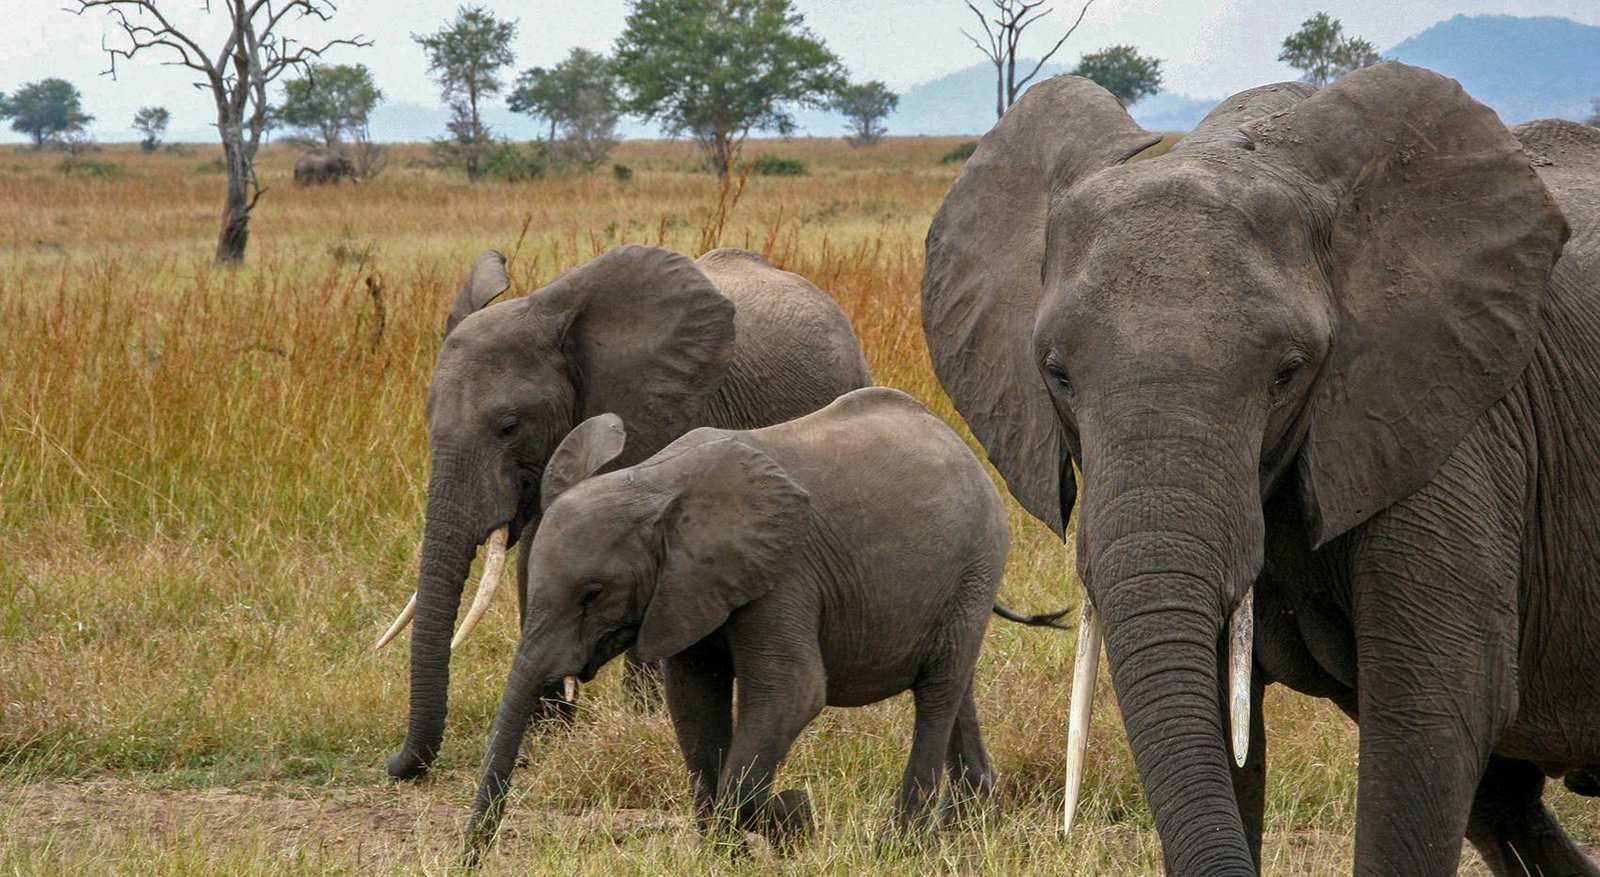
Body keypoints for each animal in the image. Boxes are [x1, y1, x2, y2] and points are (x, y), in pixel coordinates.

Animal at [377, 243, 876, 777]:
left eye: (509, 426)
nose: (395, 762)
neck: (549, 310)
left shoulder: (671, 410)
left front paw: (642, 721)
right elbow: (541, 549)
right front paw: (546, 741)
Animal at [467, 385, 1011, 864]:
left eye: (594, 594)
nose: (471, 857)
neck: (654, 485)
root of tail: (959, 444)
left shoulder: (783, 574)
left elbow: (793, 692)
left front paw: (795, 819)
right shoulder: (683, 589)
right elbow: (693, 700)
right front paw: (726, 856)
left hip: (977, 563)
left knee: (937, 692)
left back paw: (902, 845)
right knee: (954, 686)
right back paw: (971, 824)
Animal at [921, 65, 1600, 870]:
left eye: (1288, 372)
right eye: (1056, 372)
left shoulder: (1449, 420)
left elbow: (1435, 711)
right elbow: (1211, 717)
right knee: (1505, 803)